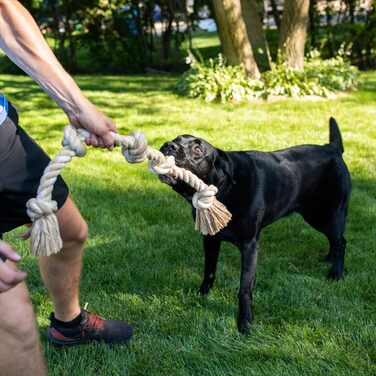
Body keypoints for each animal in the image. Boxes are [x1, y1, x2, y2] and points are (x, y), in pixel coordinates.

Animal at [159, 117, 350, 332]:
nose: (169, 145)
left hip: (328, 215)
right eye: (176, 139)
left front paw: (245, 323)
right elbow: (209, 271)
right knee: (335, 241)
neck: (223, 190)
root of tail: (331, 148)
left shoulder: (250, 245)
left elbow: (244, 289)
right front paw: (202, 295)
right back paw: (328, 259)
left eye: (198, 149)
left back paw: (335, 273)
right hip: (316, 216)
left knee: (340, 242)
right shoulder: (210, 239)